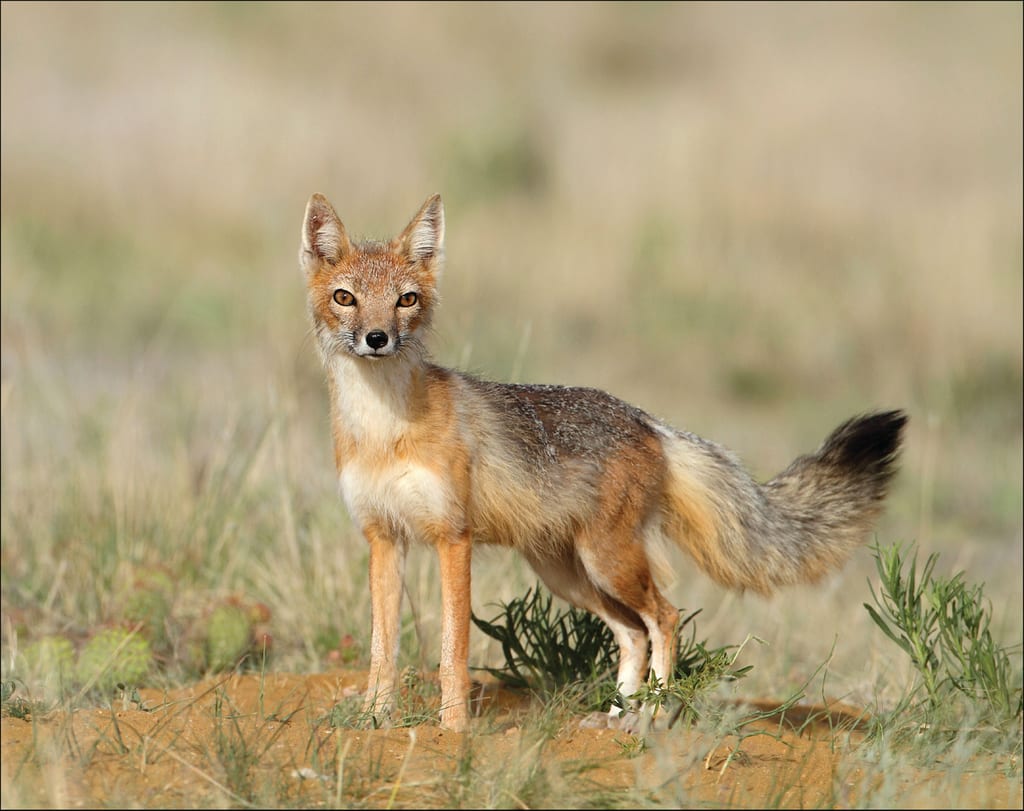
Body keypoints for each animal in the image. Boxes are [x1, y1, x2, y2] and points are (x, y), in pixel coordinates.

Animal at [298, 192, 907, 733]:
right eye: (346, 298)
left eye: (405, 300)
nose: (377, 338)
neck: (384, 431)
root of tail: (647, 420)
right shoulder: (384, 538)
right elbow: (382, 652)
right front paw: (375, 720)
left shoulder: (453, 538)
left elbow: (452, 652)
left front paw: (452, 731)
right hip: (569, 575)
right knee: (632, 633)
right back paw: (616, 717)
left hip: (607, 563)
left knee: (664, 618)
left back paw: (650, 717)